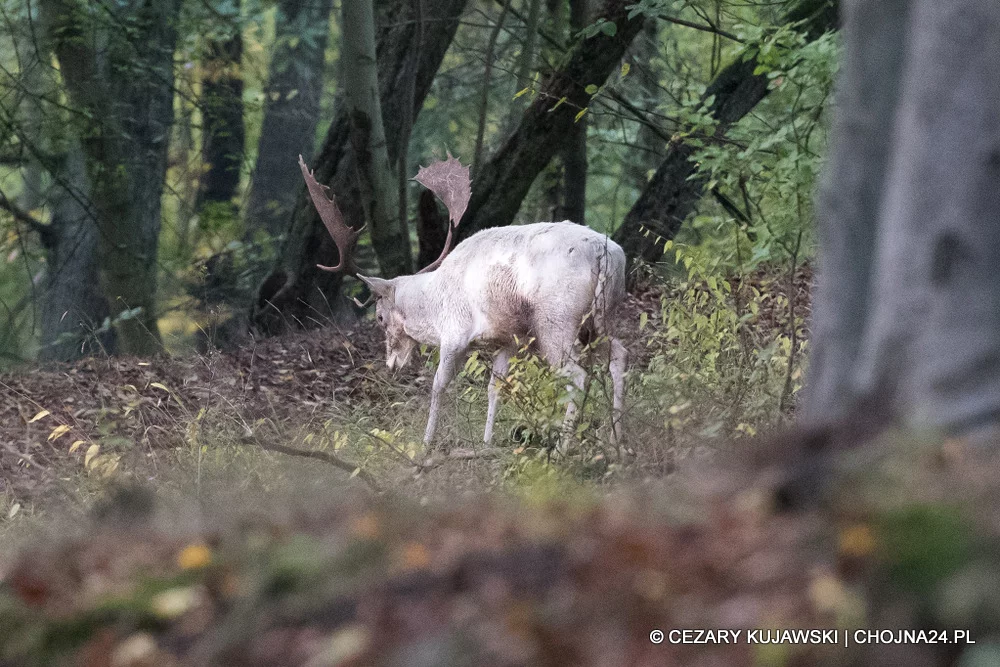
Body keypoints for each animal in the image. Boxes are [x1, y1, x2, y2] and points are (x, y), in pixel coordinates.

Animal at [296, 154, 624, 452]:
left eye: (379, 318)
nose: (392, 363)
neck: (433, 302)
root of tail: (604, 251)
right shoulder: (507, 339)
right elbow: (495, 386)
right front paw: (487, 443)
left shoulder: (455, 334)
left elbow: (438, 384)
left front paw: (426, 443)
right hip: (601, 317)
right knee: (619, 356)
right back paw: (616, 441)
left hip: (557, 321)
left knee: (578, 376)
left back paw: (564, 448)